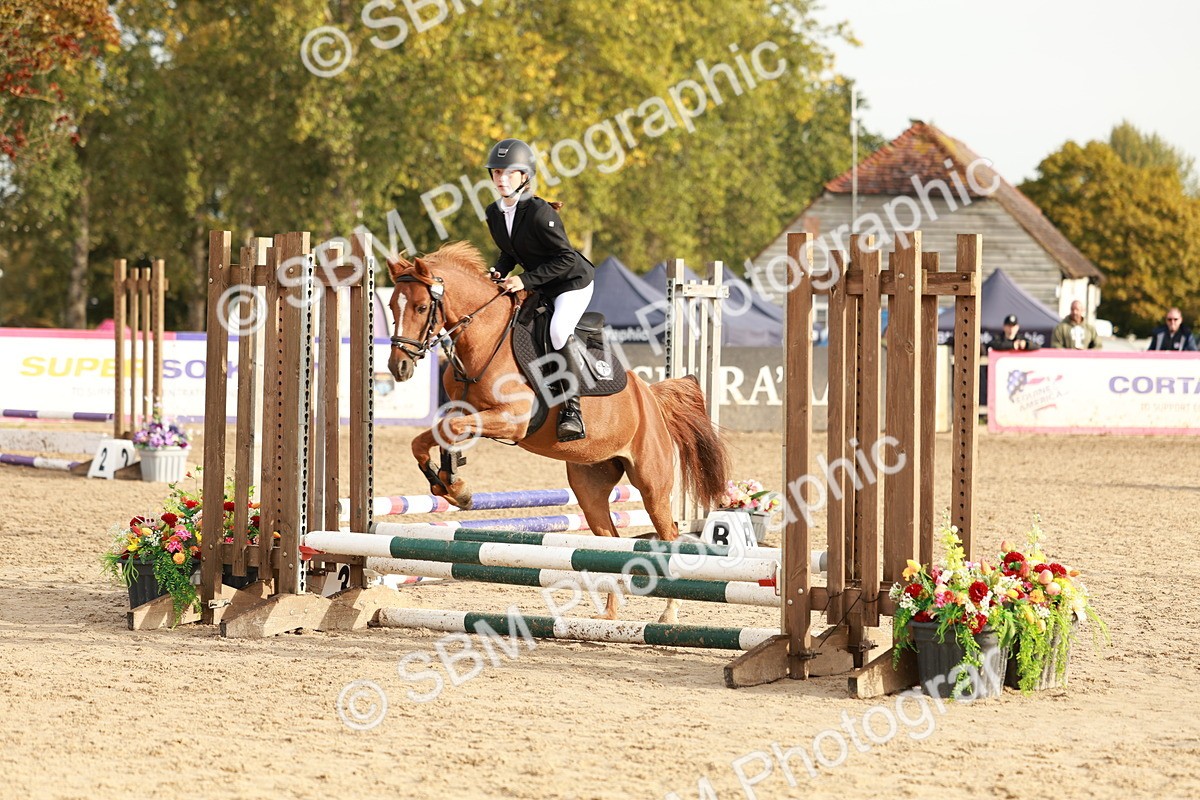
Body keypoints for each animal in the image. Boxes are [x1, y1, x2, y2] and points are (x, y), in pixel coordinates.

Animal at [385, 242, 730, 622]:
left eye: (420, 307)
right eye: (391, 306)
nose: (399, 367)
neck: (484, 339)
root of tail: (651, 396)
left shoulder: (512, 419)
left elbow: (450, 430)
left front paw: (456, 487)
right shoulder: (465, 410)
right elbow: (425, 439)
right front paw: (448, 485)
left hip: (652, 483)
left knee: (669, 535)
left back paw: (668, 614)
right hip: (590, 484)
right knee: (611, 542)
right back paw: (609, 616)